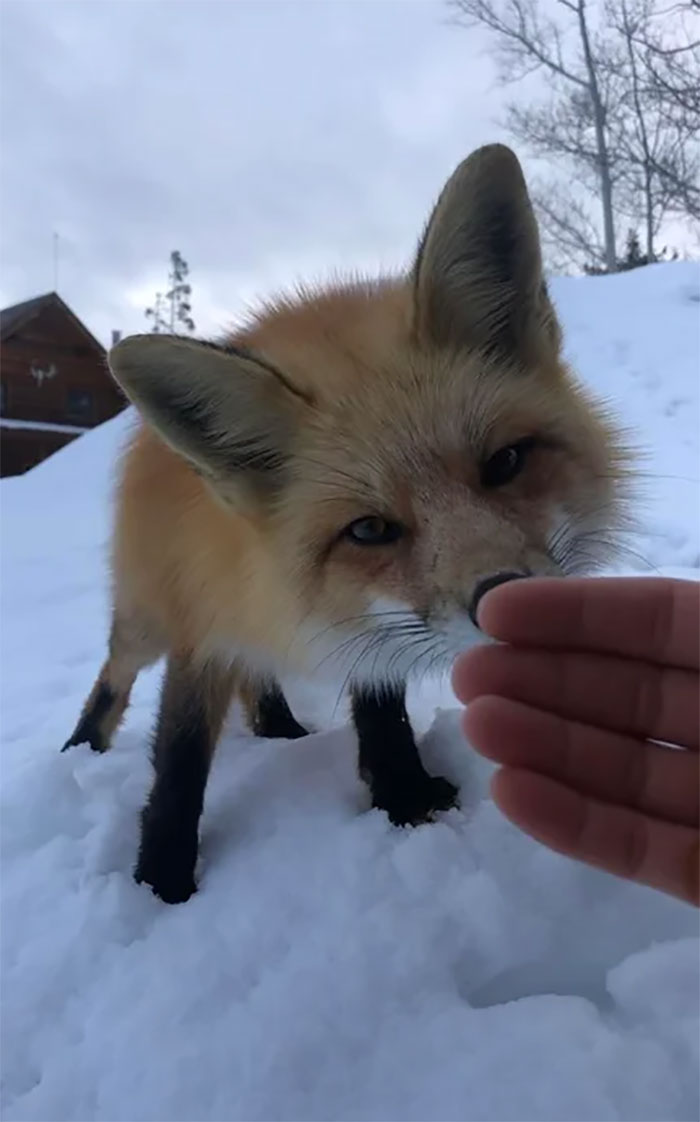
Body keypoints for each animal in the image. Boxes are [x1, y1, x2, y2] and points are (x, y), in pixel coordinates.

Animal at [58, 142, 628, 902]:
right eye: (370, 529)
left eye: (505, 461)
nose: (507, 600)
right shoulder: (202, 618)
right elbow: (178, 762)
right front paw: (160, 883)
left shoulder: (348, 612)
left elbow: (380, 702)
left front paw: (403, 795)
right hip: (147, 616)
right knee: (113, 677)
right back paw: (79, 753)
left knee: (257, 677)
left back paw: (278, 729)